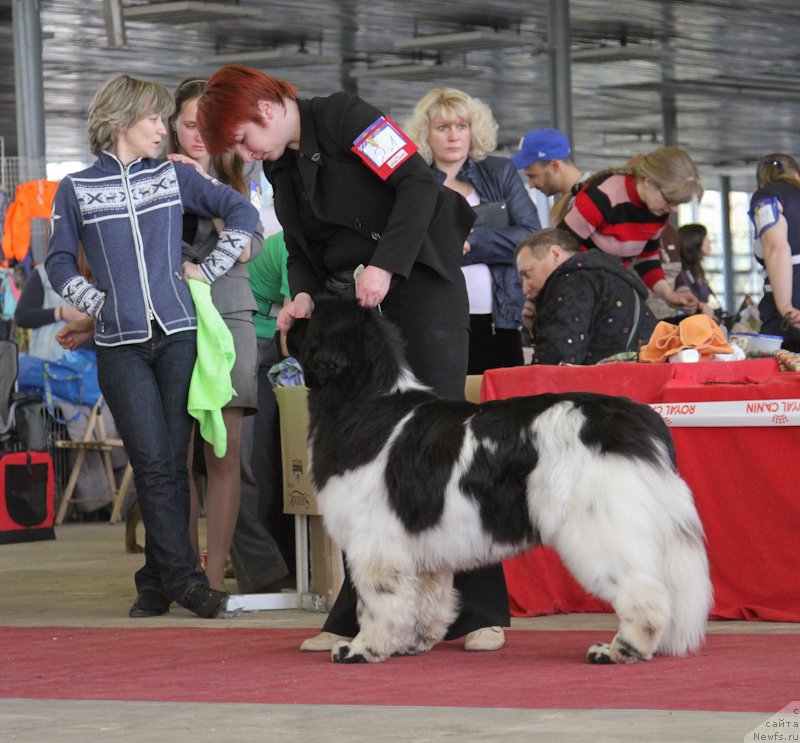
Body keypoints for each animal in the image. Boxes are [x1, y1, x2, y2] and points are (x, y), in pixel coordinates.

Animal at [288, 300, 712, 664]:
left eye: (312, 316)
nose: (289, 318)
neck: (364, 403)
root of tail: (641, 420)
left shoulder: (375, 542)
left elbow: (377, 601)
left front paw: (363, 648)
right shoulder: (421, 547)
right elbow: (425, 598)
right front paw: (412, 643)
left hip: (598, 527)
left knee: (645, 591)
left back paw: (619, 650)